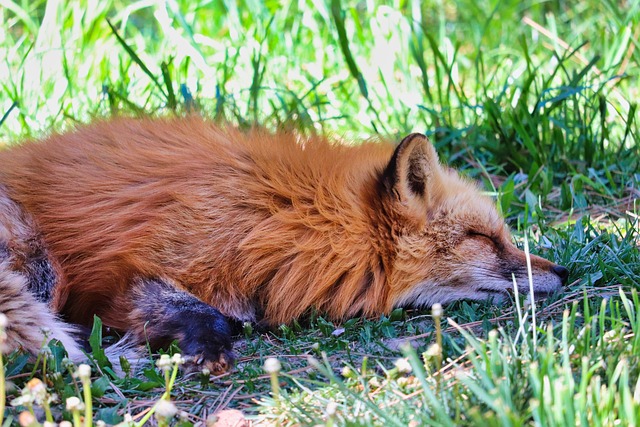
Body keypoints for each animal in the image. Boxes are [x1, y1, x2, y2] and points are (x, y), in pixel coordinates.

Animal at [0, 117, 568, 374]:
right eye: (484, 238)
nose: (567, 273)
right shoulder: (126, 271)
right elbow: (209, 313)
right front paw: (205, 347)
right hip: (40, 266)